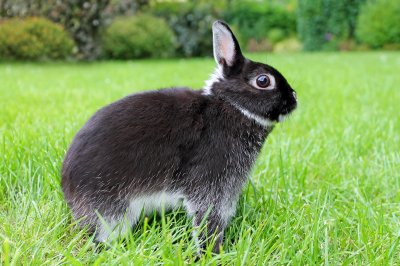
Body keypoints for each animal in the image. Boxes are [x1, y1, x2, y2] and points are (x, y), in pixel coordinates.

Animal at [61, 20, 296, 254]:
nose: (294, 98)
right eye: (263, 80)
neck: (233, 106)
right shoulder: (211, 184)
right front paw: (212, 252)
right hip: (112, 209)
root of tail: (68, 188)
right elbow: (208, 219)